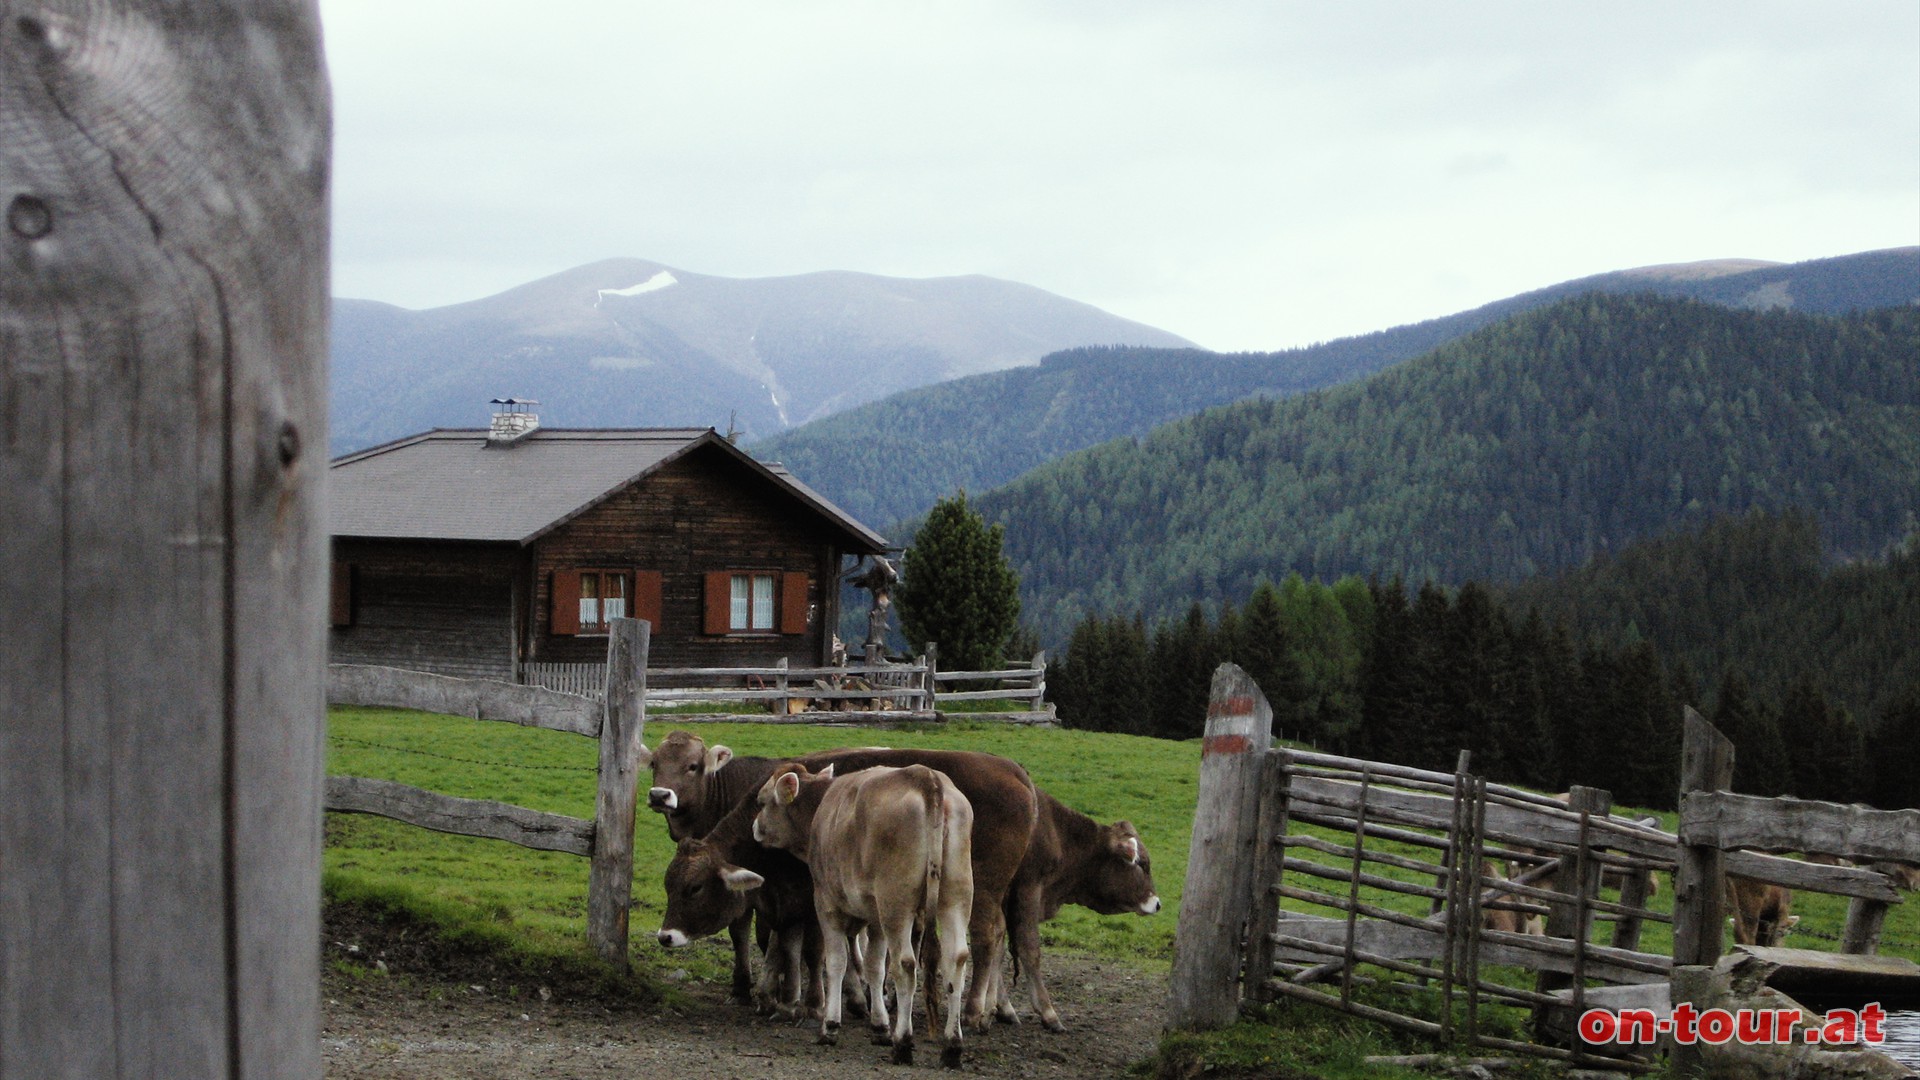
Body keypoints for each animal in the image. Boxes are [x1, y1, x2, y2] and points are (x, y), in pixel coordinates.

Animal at [752, 760, 975, 1060]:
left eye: (762, 801)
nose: (755, 827)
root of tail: (924, 777)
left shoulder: (827, 904)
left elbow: (836, 961)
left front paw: (830, 1026)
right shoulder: (876, 917)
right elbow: (874, 966)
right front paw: (880, 1025)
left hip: (896, 904)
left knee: (905, 964)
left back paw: (903, 1042)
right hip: (955, 897)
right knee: (956, 960)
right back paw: (952, 1046)